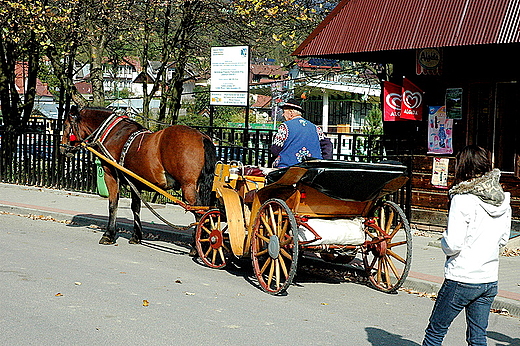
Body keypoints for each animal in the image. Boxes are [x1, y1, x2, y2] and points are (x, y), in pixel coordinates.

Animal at [60, 107, 216, 245]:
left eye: (66, 125)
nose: (62, 148)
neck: (113, 133)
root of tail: (202, 137)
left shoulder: (110, 175)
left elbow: (113, 204)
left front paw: (109, 234)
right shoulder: (134, 181)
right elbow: (135, 207)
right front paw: (136, 236)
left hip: (188, 187)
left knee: (201, 213)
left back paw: (198, 246)